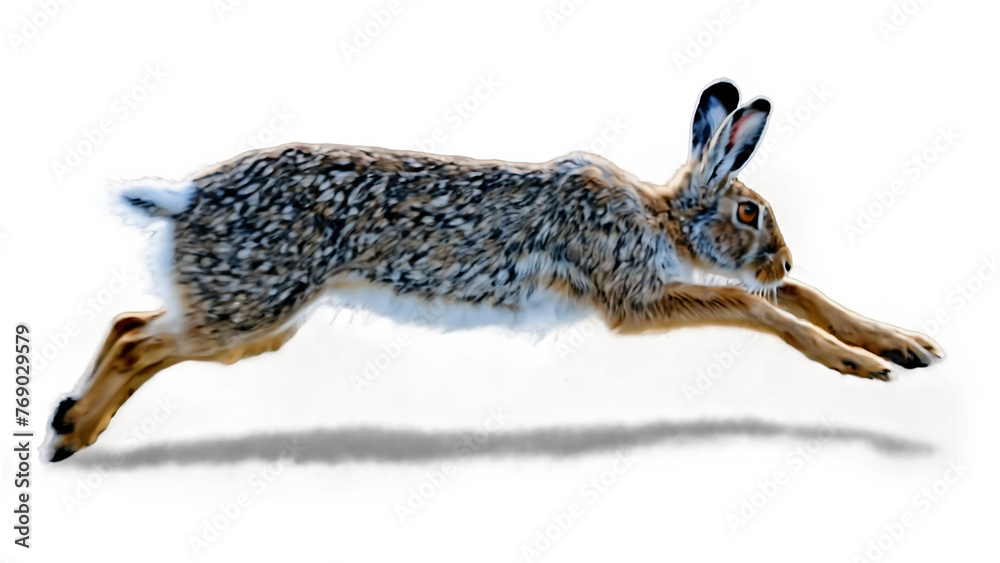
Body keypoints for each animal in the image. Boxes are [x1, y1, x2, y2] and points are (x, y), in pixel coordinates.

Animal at [45, 78, 944, 462]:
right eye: (750, 212)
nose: (784, 252)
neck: (660, 216)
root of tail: (183, 197)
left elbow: (791, 297)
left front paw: (906, 345)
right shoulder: (631, 294)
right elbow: (761, 309)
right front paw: (858, 362)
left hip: (253, 316)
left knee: (130, 323)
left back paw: (67, 425)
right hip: (254, 307)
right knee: (136, 335)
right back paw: (71, 432)